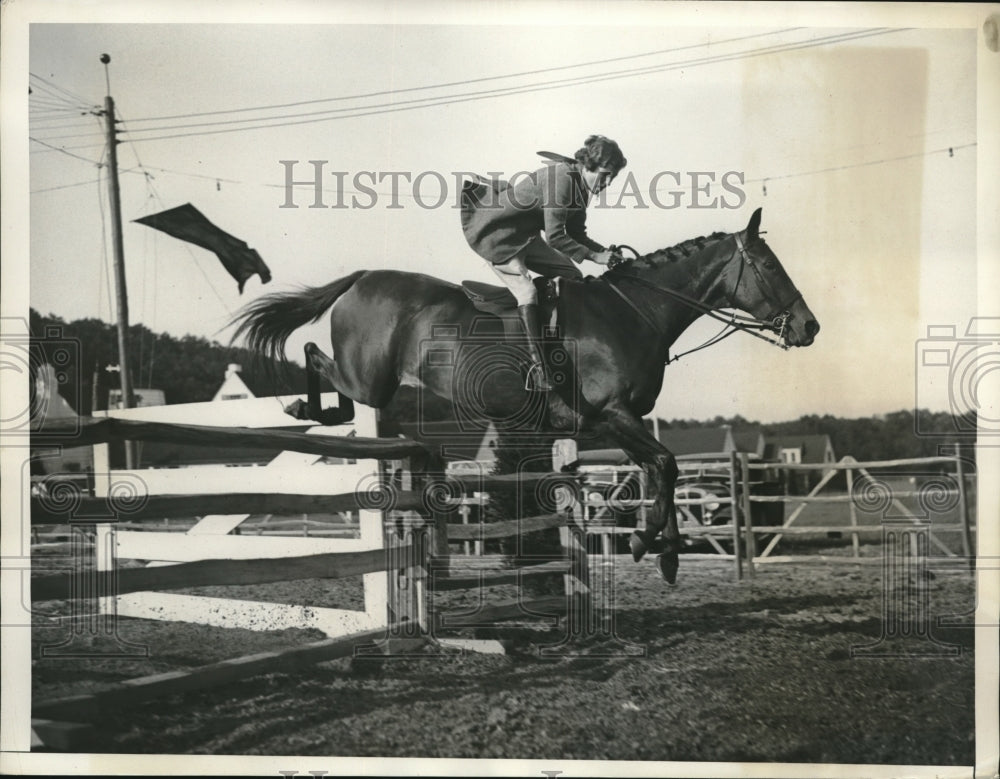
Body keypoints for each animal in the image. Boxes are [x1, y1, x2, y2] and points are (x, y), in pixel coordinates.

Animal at [234, 209, 820, 584]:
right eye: (770, 266)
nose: (810, 327)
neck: (634, 312)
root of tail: (360, 279)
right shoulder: (613, 415)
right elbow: (667, 466)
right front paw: (648, 543)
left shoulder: (618, 423)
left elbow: (660, 471)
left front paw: (666, 554)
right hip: (367, 378)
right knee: (316, 356)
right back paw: (305, 407)